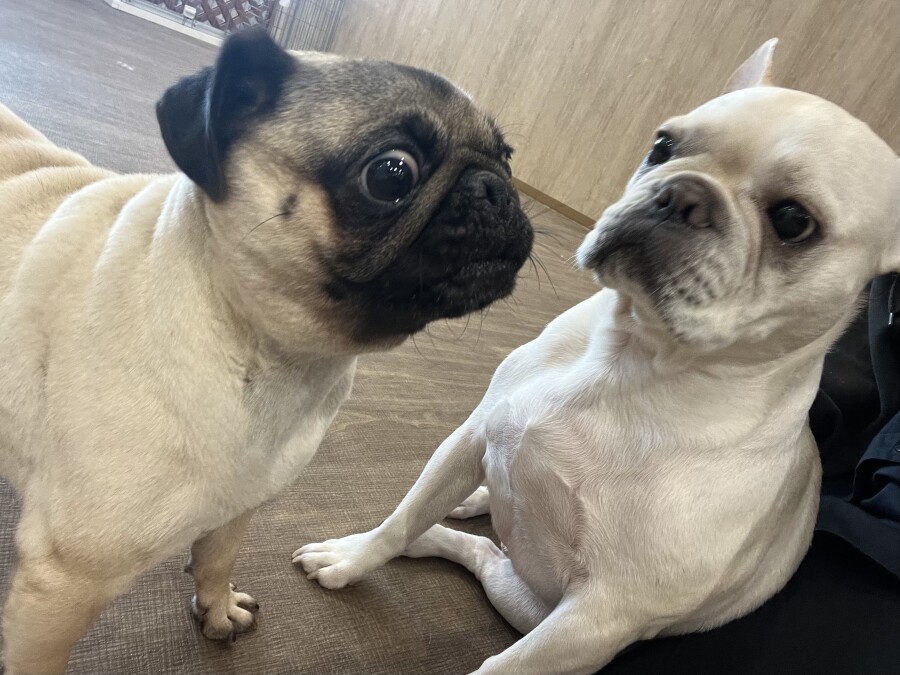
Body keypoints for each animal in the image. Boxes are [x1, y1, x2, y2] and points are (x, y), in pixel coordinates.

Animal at [0, 29, 532, 675]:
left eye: (507, 157)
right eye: (391, 174)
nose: (496, 188)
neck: (270, 355)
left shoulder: (241, 504)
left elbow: (217, 558)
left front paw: (216, 606)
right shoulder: (63, 584)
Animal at [294, 39, 900, 674]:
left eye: (793, 221)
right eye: (662, 146)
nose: (681, 194)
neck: (632, 356)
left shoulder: (597, 620)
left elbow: (500, 666)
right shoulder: (470, 435)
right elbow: (401, 519)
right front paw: (355, 557)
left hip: (524, 602)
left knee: (484, 553)